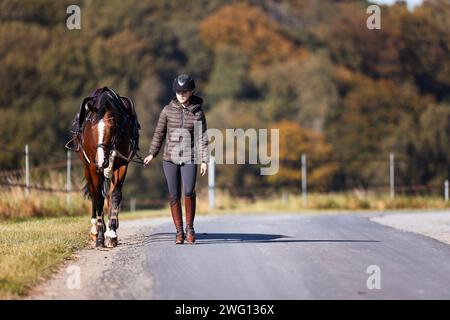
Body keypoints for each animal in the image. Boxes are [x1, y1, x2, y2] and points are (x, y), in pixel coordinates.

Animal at [69, 87, 140, 248]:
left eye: (112, 128)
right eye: (92, 127)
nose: (101, 161)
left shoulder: (121, 165)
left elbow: (115, 195)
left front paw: (111, 233)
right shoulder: (92, 167)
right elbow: (98, 198)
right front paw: (100, 236)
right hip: (87, 168)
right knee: (94, 194)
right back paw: (95, 230)